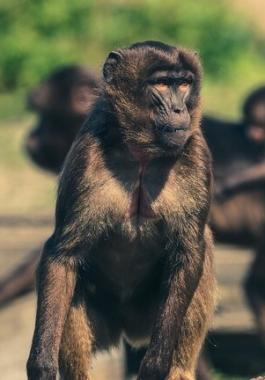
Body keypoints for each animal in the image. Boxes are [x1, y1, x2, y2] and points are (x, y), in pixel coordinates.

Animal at [26, 41, 213, 380]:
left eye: (184, 84)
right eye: (162, 83)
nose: (180, 110)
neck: (142, 154)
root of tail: (129, 329)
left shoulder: (196, 153)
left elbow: (190, 252)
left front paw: (155, 367)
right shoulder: (86, 155)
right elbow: (62, 256)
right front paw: (41, 365)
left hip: (149, 318)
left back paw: (178, 370)